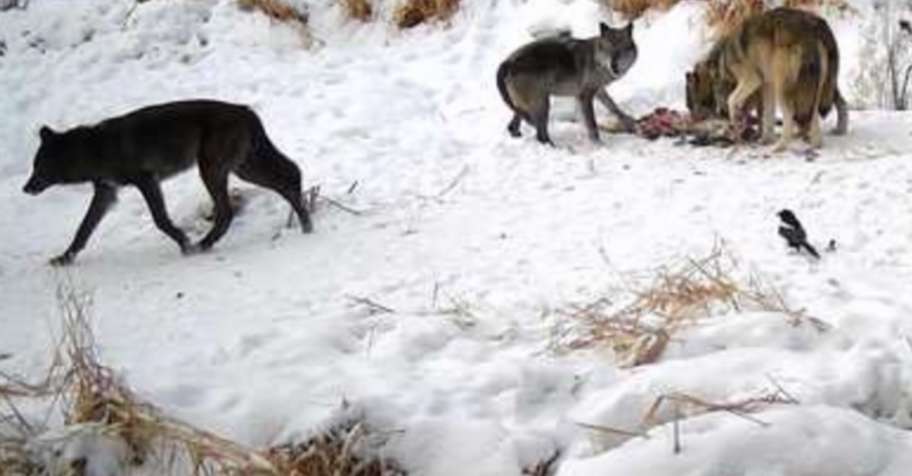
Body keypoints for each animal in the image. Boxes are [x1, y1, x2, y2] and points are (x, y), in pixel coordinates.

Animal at [23, 99, 313, 265]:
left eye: (39, 167)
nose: (25, 188)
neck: (94, 149)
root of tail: (246, 110)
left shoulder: (146, 181)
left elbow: (160, 220)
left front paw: (184, 243)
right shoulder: (106, 192)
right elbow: (82, 229)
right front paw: (65, 257)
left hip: (213, 170)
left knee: (228, 211)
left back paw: (203, 245)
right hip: (243, 169)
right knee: (289, 177)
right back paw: (306, 225)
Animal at [496, 22, 638, 145]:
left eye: (621, 50)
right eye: (608, 49)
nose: (614, 66)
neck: (596, 60)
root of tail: (507, 62)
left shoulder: (598, 91)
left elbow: (614, 107)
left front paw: (630, 122)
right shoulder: (585, 96)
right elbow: (592, 124)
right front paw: (598, 145)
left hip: (525, 107)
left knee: (512, 126)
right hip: (542, 104)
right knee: (540, 136)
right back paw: (556, 148)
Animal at [686, 8, 848, 136]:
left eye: (691, 104)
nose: (693, 119)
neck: (720, 60)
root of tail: (819, 25)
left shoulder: (753, 80)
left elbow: (733, 101)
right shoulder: (765, 86)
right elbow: (763, 116)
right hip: (825, 84)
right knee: (841, 102)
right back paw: (839, 129)